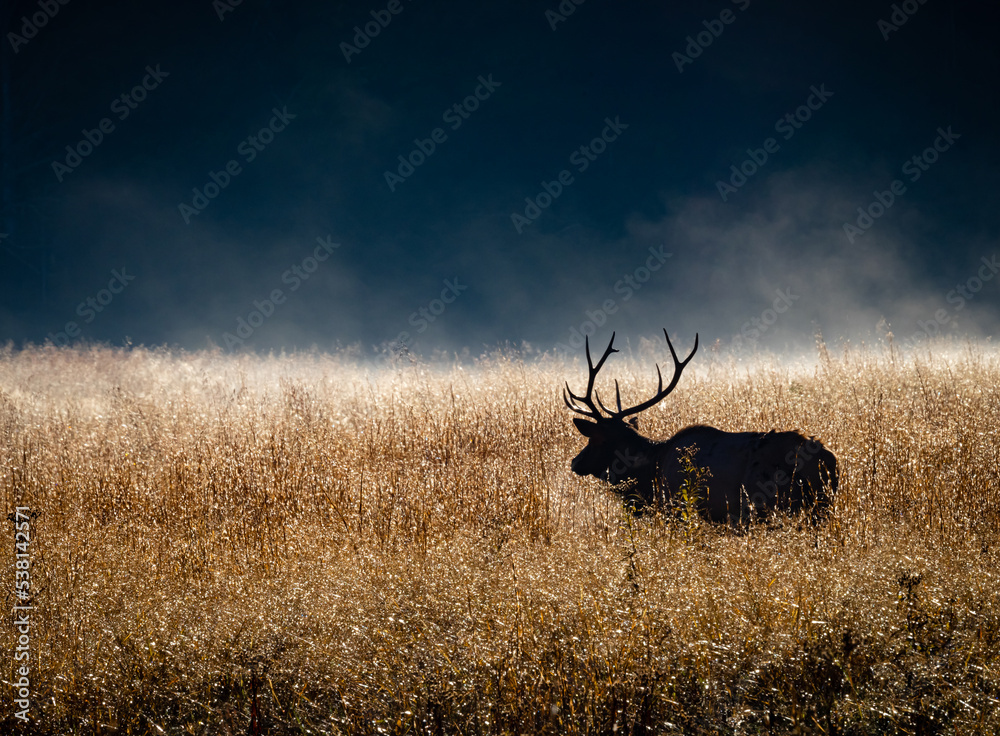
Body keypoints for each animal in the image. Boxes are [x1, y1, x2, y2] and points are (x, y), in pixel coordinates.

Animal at [564, 330, 837, 524]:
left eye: (594, 439)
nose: (575, 462)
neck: (651, 470)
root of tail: (829, 459)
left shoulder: (678, 507)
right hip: (822, 508)